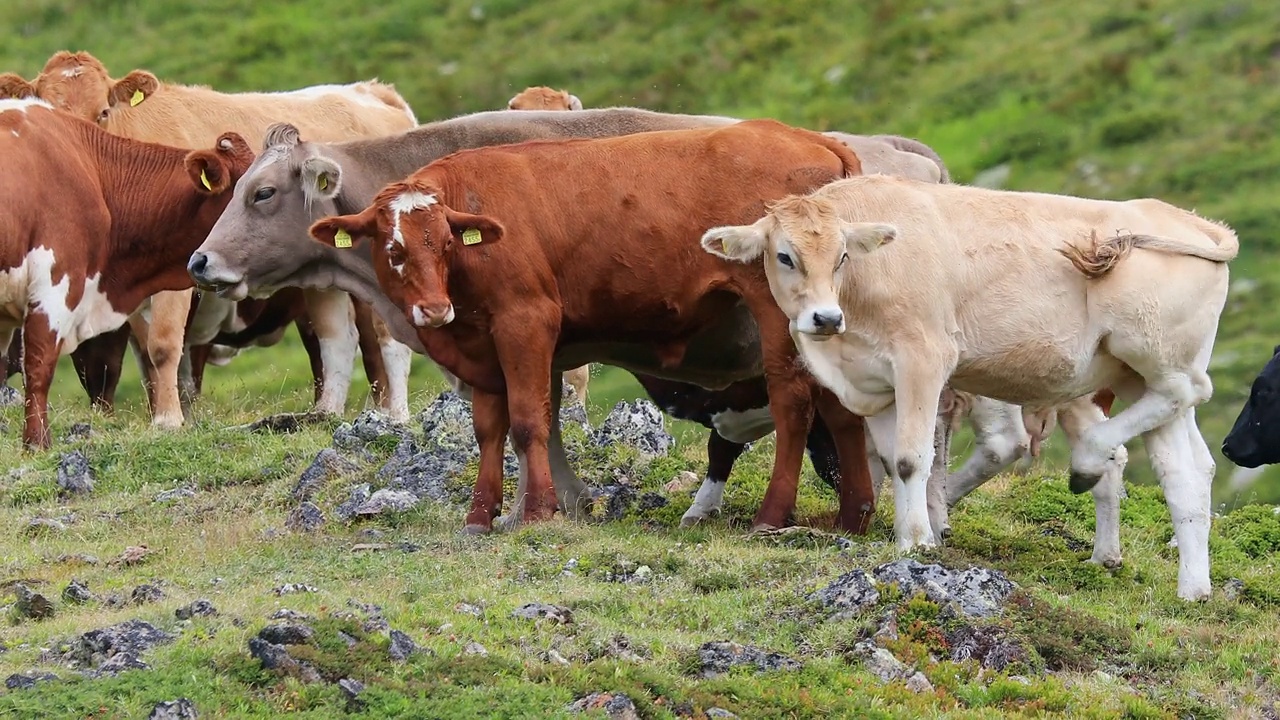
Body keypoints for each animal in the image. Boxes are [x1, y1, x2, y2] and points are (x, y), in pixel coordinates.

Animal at [186, 106, 952, 532]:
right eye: (392, 246)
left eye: (261, 193)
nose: (199, 260)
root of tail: (820, 143)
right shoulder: (498, 346)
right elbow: (515, 423)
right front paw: (510, 510)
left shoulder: (527, 324)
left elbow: (532, 421)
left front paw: (540, 510)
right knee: (842, 414)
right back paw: (851, 517)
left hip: (785, 321)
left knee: (804, 406)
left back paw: (781, 516)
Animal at [706, 174, 1233, 599]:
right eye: (784, 256)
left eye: (841, 257)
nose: (825, 317)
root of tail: (1187, 220)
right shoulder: (876, 383)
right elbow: (892, 462)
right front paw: (909, 533)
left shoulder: (924, 357)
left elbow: (911, 459)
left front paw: (919, 542)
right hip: (1136, 375)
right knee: (1186, 471)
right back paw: (1193, 588)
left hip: (1149, 350)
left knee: (1185, 393)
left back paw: (1088, 461)